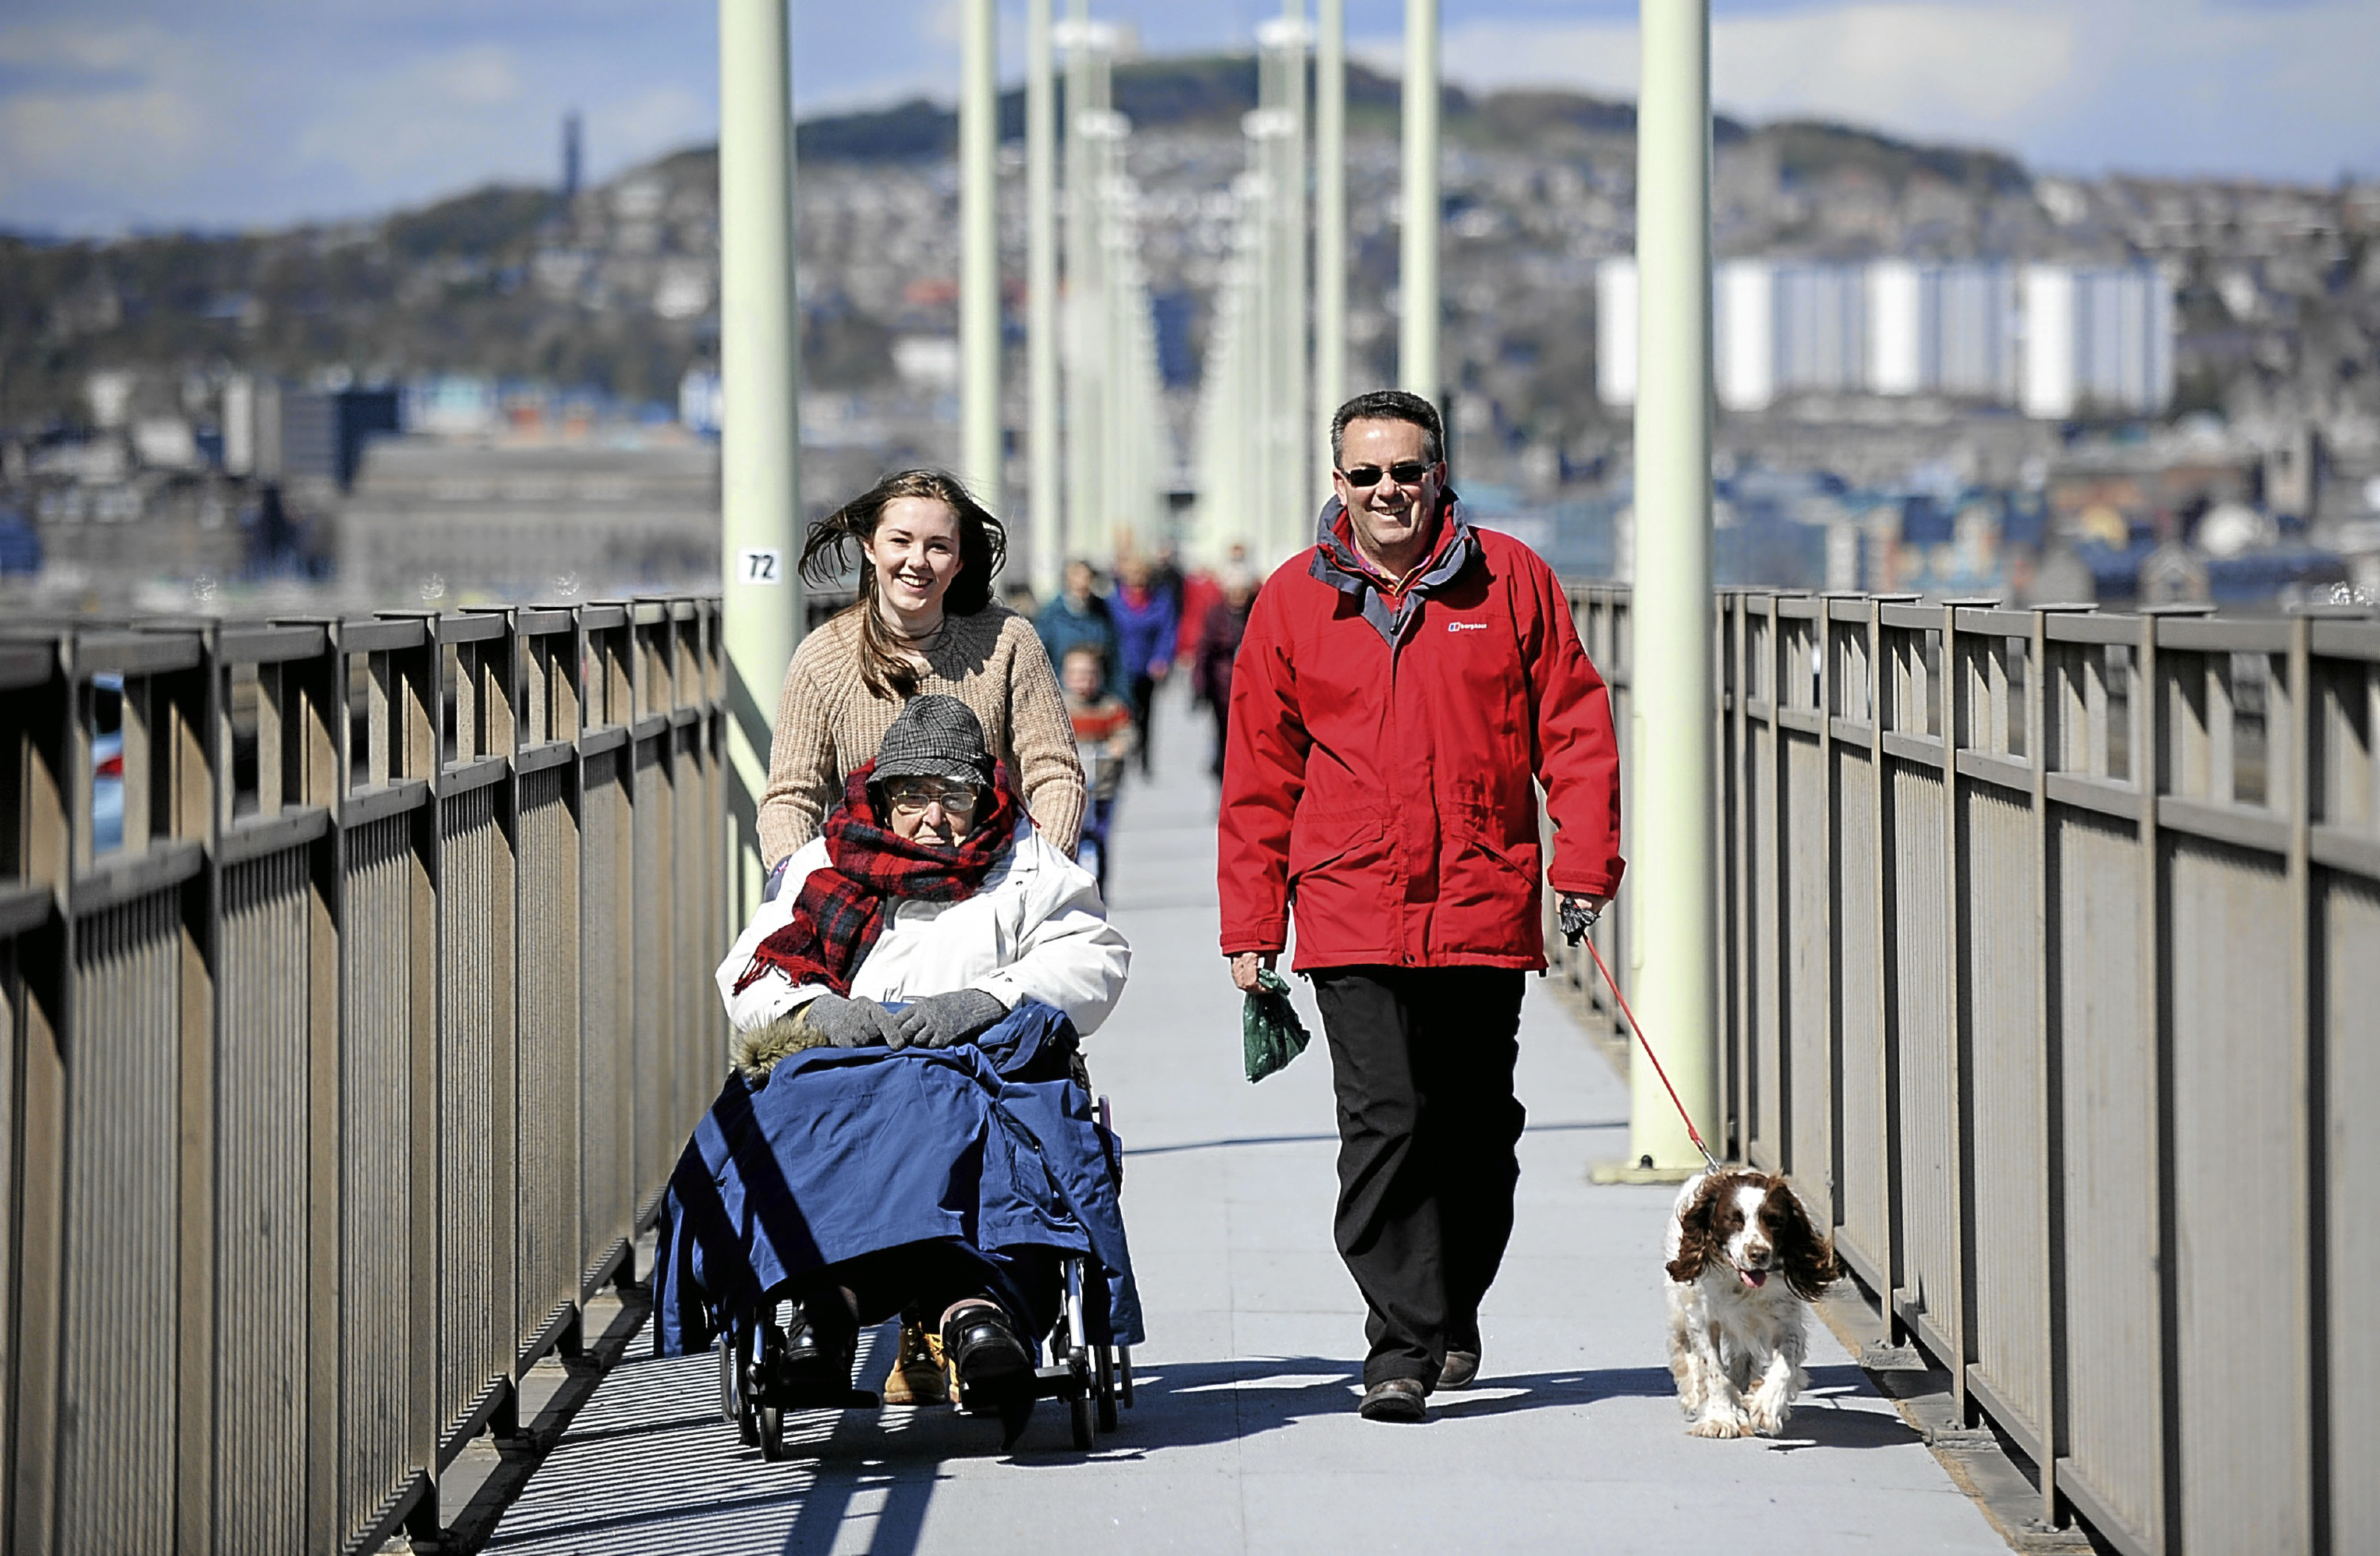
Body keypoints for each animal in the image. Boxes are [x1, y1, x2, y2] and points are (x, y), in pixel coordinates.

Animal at [1666, 1170, 1847, 1437]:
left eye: (1775, 1221)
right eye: (1734, 1220)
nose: (1758, 1253)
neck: (1741, 1285)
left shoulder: (1785, 1322)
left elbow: (1785, 1364)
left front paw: (1766, 1406)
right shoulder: (1703, 1318)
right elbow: (1714, 1372)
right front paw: (1720, 1418)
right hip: (1681, 1307)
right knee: (1685, 1348)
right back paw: (1696, 1396)